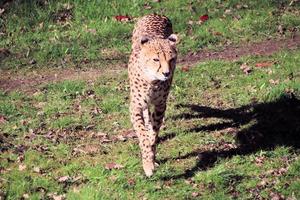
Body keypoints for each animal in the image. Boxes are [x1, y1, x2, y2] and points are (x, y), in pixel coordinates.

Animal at [127, 14, 178, 177]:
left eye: (171, 59)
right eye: (156, 59)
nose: (167, 73)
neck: (152, 81)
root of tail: (154, 14)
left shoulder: (161, 105)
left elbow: (154, 132)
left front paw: (151, 155)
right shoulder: (135, 107)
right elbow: (142, 134)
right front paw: (148, 164)